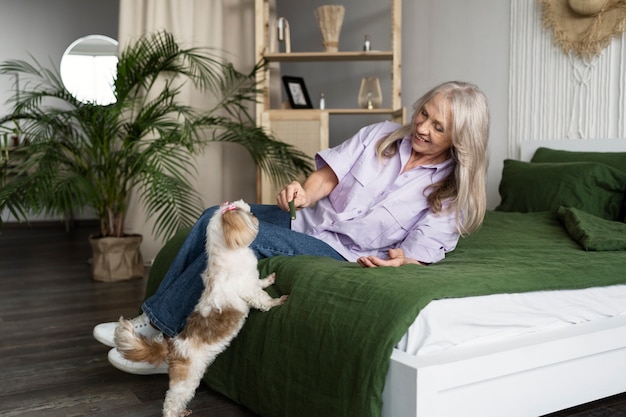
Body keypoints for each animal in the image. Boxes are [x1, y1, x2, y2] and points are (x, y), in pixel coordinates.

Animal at [114, 200, 286, 414]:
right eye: (243, 211)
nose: (253, 212)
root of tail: (173, 345)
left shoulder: (252, 281)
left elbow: (260, 283)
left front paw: (269, 279)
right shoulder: (248, 290)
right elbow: (263, 299)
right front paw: (278, 301)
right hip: (187, 380)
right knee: (171, 402)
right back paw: (176, 413)